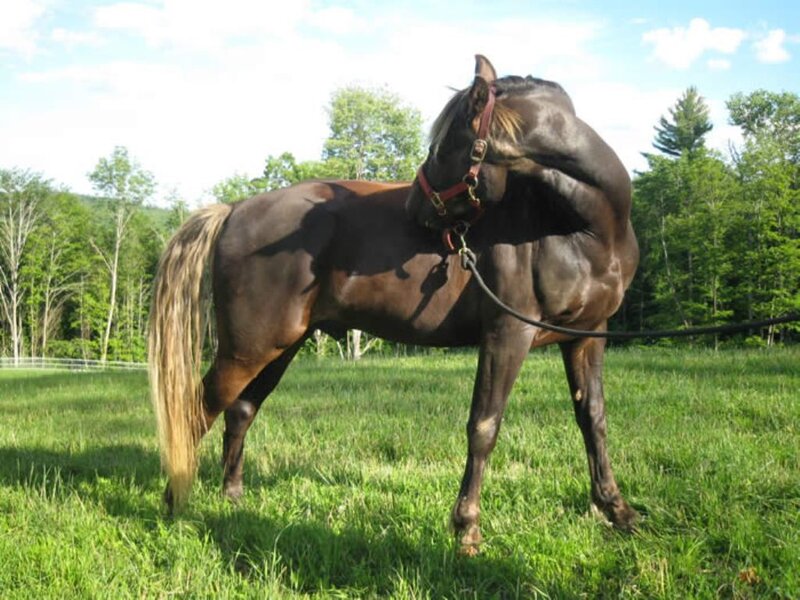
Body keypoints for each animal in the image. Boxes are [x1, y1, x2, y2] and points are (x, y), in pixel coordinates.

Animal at [148, 55, 640, 555]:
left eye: (443, 146)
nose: (414, 205)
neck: (579, 227)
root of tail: (236, 208)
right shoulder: (508, 333)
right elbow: (484, 426)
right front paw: (467, 528)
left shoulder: (587, 335)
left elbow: (592, 418)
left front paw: (617, 510)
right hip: (248, 348)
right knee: (197, 411)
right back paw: (174, 505)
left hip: (279, 346)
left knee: (241, 411)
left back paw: (231, 499)